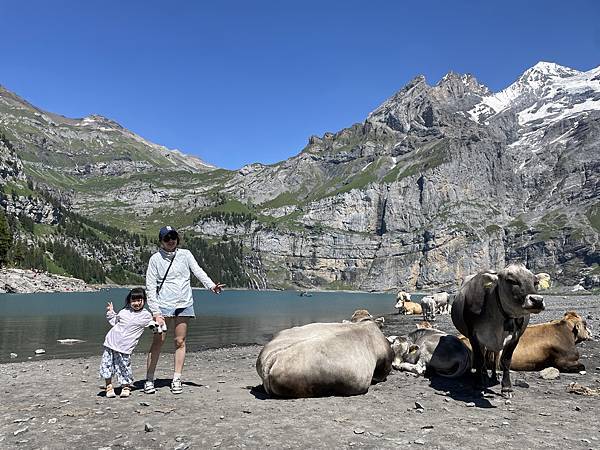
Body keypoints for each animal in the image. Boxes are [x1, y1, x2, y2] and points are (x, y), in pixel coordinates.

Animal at [452, 264, 552, 398]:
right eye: (511, 280)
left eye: (536, 282)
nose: (537, 300)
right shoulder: (473, 335)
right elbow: (479, 359)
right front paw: (479, 384)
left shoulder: (515, 337)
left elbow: (505, 361)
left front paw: (507, 387)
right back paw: (484, 376)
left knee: (494, 356)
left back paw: (494, 376)